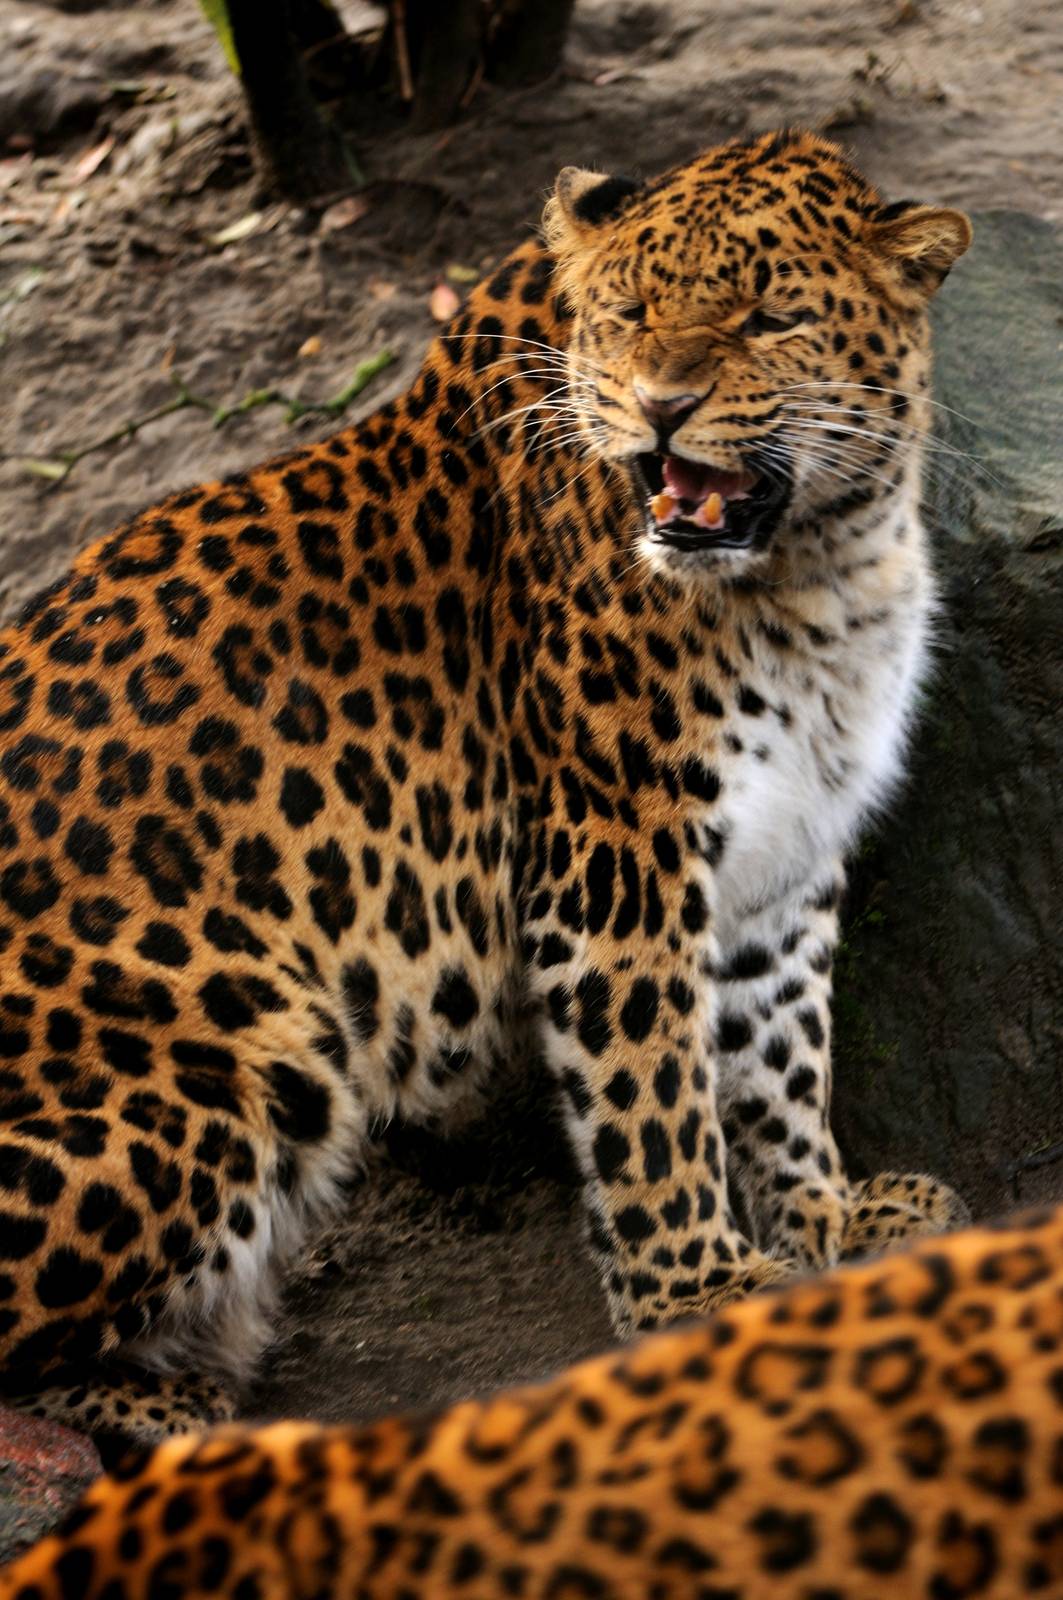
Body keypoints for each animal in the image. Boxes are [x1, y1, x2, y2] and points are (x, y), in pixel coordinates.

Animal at [0, 128, 972, 1450]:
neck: (819, 561)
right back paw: (171, 1402)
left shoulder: (782, 855)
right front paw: (697, 1293)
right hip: (241, 1064)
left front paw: (827, 1218)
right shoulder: (616, 852)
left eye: (769, 317)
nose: (662, 406)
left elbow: (779, 1053)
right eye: (627, 314)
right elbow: (654, 1095)